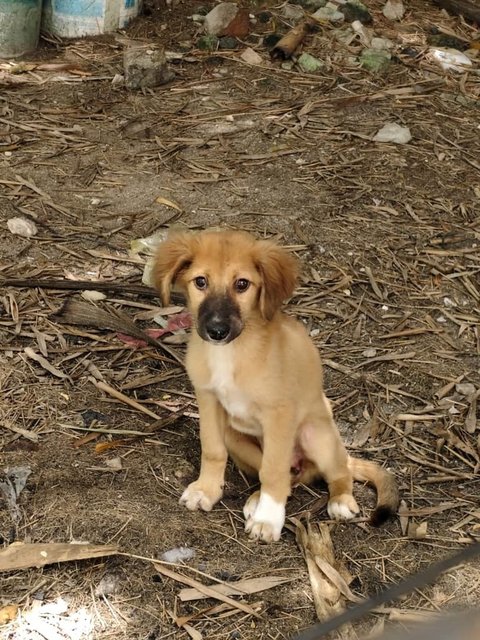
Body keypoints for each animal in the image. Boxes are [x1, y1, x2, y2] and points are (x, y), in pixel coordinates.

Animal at [154, 229, 398, 540]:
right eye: (200, 282)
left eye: (242, 284)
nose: (217, 331)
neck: (233, 353)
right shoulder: (208, 399)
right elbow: (212, 449)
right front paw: (207, 490)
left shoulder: (279, 415)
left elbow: (273, 470)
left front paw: (268, 519)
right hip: (236, 437)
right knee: (287, 478)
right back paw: (256, 499)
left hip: (316, 435)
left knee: (336, 471)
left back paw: (340, 500)